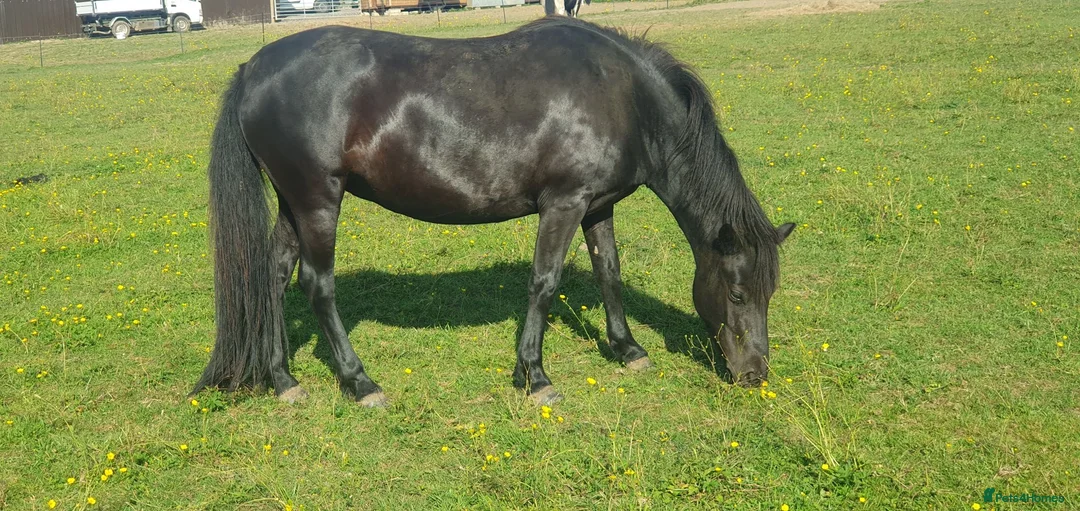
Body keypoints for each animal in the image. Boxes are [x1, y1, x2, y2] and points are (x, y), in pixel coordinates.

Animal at [190, 17, 795, 407]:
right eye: (737, 293)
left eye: (769, 292)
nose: (755, 375)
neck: (623, 95)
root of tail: (252, 69)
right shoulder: (563, 204)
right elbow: (544, 283)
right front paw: (535, 376)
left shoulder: (597, 207)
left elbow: (609, 273)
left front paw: (627, 349)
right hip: (318, 201)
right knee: (317, 286)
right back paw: (360, 383)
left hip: (293, 204)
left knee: (272, 275)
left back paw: (283, 380)